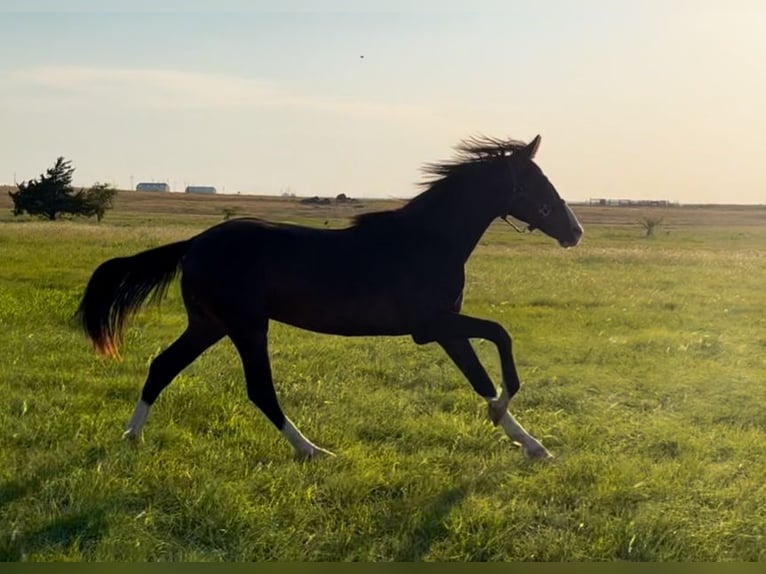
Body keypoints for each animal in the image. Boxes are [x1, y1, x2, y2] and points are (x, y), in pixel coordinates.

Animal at [76, 136, 584, 464]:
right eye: (537, 183)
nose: (575, 231)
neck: (429, 240)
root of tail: (194, 242)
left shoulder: (443, 328)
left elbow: (486, 363)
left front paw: (530, 442)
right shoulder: (433, 326)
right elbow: (497, 344)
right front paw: (512, 424)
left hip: (210, 324)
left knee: (163, 366)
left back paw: (131, 437)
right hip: (245, 325)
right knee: (259, 389)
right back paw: (313, 450)